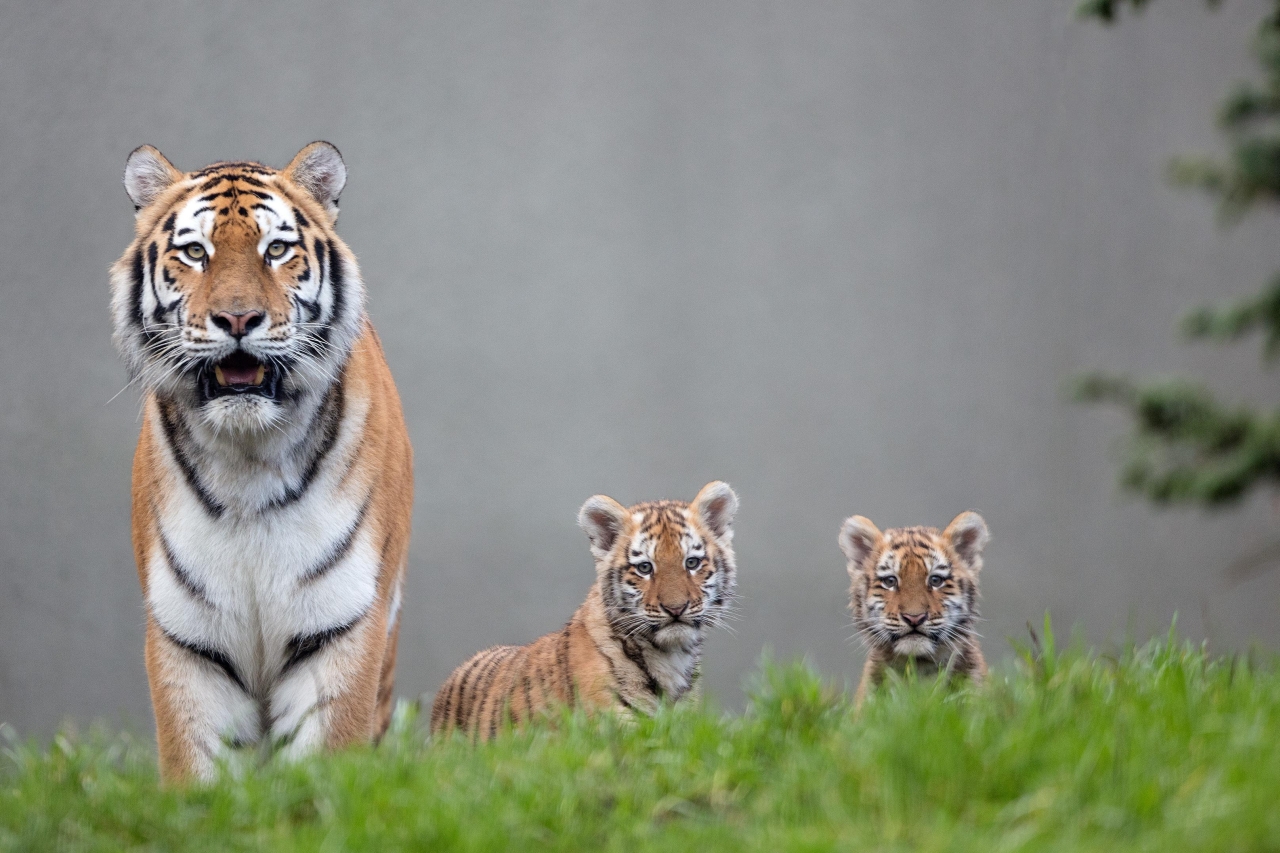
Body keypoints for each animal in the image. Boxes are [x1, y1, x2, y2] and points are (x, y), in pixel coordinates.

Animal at [110, 142, 412, 778]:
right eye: (195, 252)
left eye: (276, 249)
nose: (238, 319)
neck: (246, 458)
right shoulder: (187, 638)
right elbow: (198, 768)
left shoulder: (340, 624)